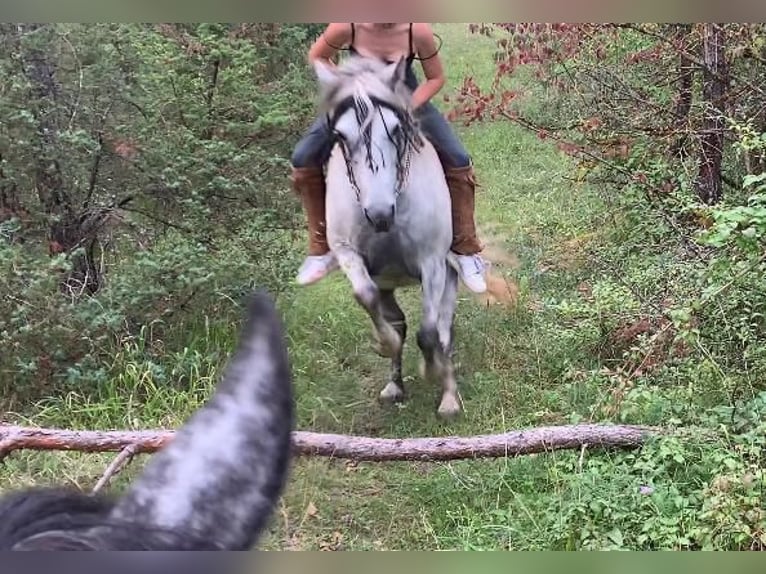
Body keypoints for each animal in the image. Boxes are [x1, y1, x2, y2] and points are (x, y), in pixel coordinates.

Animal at [315, 55, 462, 418]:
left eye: (396, 130)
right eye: (340, 135)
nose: (379, 214)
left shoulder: (432, 262)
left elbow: (429, 332)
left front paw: (432, 371)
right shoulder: (349, 253)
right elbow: (365, 296)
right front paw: (385, 345)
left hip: (449, 271)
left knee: (444, 325)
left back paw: (449, 395)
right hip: (388, 283)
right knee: (399, 321)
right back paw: (394, 385)